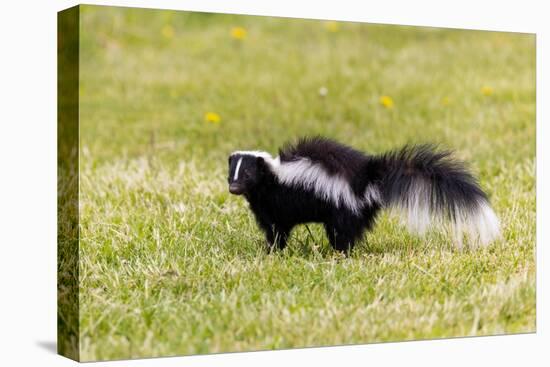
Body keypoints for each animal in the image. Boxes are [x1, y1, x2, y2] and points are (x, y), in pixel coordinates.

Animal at [226, 137, 502, 252]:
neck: (273, 177)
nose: (233, 189)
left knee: (342, 233)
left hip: (342, 206)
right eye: (231, 175)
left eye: (247, 175)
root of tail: (367, 178)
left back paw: (339, 253)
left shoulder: (276, 204)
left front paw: (272, 251)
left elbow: (277, 230)